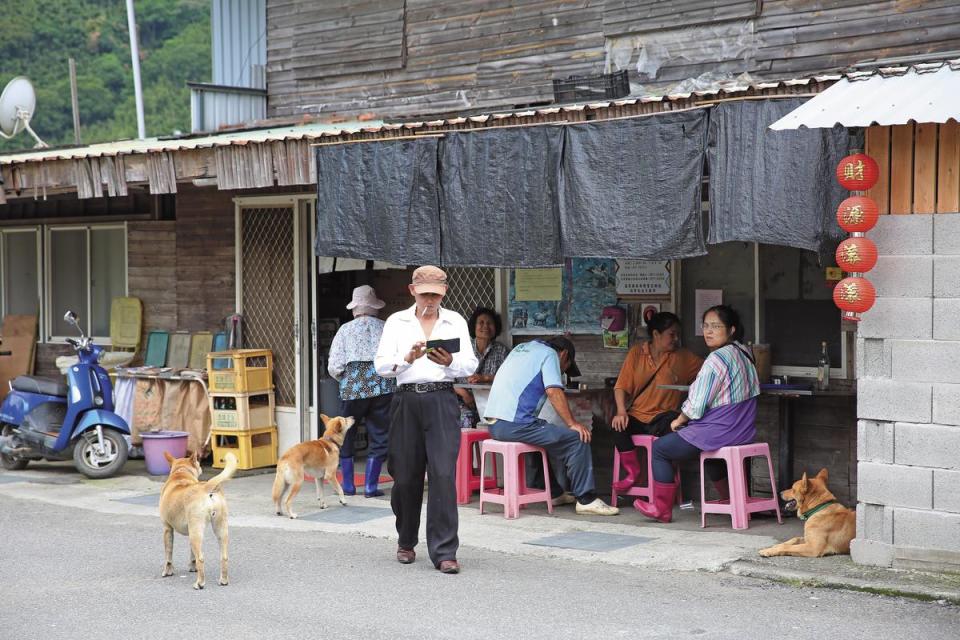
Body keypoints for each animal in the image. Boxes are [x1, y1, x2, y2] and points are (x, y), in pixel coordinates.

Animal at [158, 450, 237, 592]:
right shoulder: (190, 531)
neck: (181, 472)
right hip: (219, 529)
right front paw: (192, 567)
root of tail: (206, 487)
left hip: (196, 533)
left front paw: (167, 571)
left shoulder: (167, 529)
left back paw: (199, 583)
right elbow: (192, 555)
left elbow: (168, 555)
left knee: (201, 558)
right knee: (223, 557)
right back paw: (223, 580)